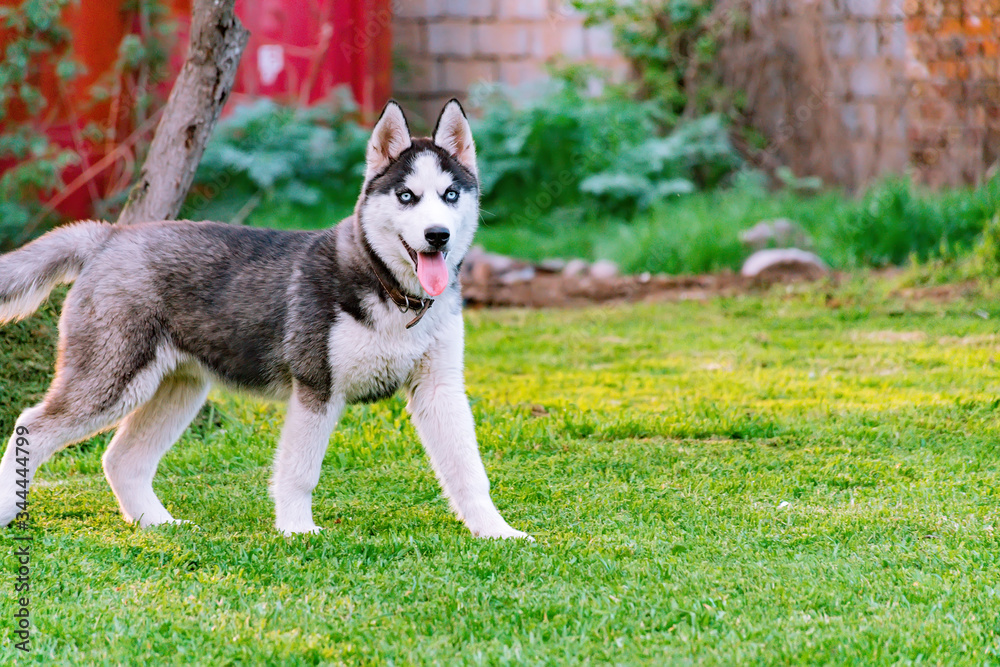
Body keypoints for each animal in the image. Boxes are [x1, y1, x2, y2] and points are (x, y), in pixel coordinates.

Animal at [0, 99, 532, 536]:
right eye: (406, 197)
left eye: (450, 195)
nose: (438, 235)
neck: (393, 295)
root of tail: (109, 236)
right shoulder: (317, 388)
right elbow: (299, 472)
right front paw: (297, 531)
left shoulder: (440, 389)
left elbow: (469, 471)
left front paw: (497, 532)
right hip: (109, 382)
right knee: (31, 425)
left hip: (177, 389)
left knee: (120, 460)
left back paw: (158, 524)